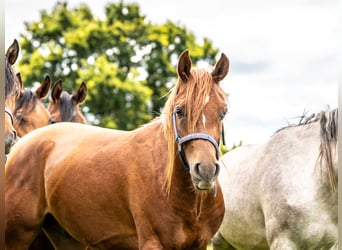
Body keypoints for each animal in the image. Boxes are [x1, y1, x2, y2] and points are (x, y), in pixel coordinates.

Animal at [5, 49, 230, 249]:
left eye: (223, 112)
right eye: (180, 111)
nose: (206, 170)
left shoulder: (199, 245)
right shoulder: (152, 243)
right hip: (17, 237)